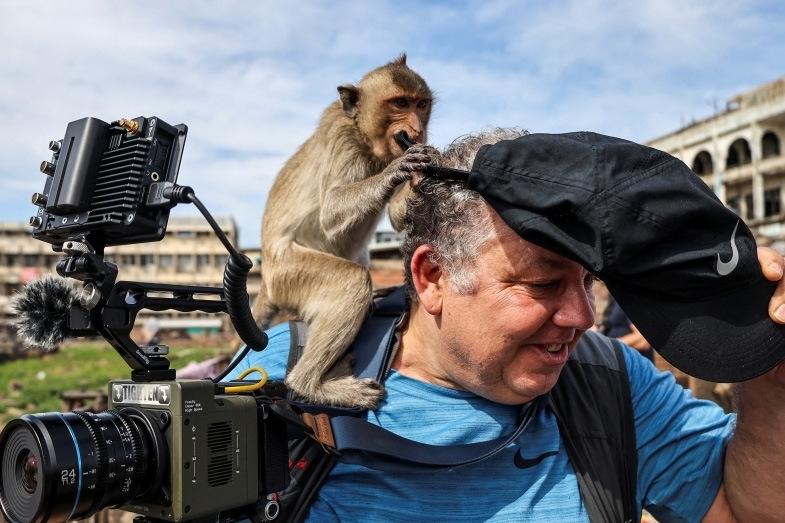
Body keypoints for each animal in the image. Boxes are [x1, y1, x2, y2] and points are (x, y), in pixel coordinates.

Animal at [254, 56, 432, 410]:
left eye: (421, 104)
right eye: (400, 103)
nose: (418, 130)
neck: (366, 139)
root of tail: (266, 276)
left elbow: (398, 217)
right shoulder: (342, 138)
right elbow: (331, 211)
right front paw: (397, 170)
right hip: (289, 273)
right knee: (351, 281)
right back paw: (312, 386)